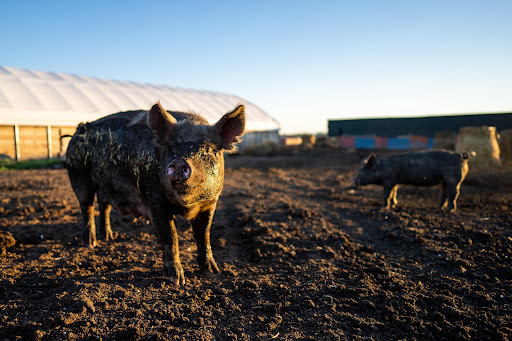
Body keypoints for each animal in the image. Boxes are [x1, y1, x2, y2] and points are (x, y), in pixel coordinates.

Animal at [65, 102, 245, 286]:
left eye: (207, 150)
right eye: (171, 148)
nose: (180, 162)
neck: (187, 206)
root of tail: (77, 130)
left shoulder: (210, 203)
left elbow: (204, 235)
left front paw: (213, 273)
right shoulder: (155, 202)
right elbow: (171, 237)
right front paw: (176, 281)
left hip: (106, 186)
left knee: (104, 206)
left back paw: (109, 237)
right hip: (78, 176)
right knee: (86, 207)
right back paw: (91, 243)